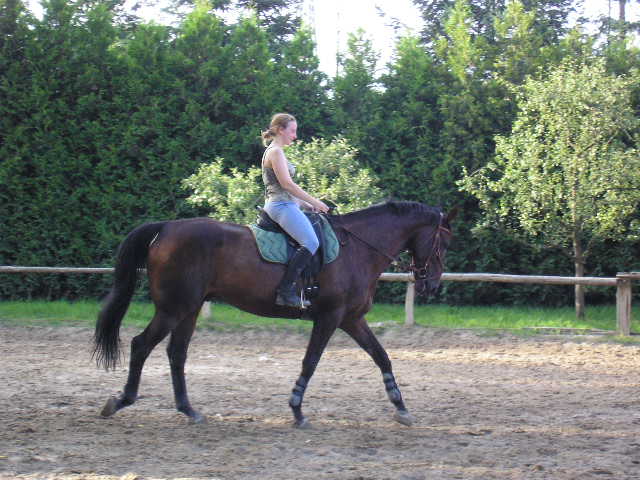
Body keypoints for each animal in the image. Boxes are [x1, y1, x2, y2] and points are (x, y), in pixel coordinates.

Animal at [93, 201, 455, 428]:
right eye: (443, 244)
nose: (432, 284)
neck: (358, 249)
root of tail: (166, 227)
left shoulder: (352, 319)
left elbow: (382, 357)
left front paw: (401, 407)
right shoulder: (330, 317)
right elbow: (310, 362)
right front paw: (296, 410)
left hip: (189, 309)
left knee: (176, 353)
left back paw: (189, 410)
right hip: (173, 308)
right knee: (142, 345)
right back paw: (121, 400)